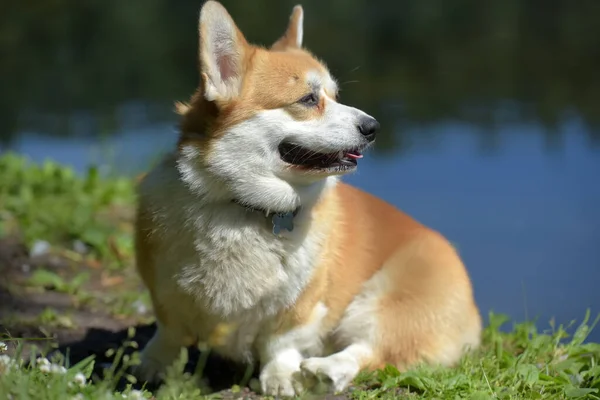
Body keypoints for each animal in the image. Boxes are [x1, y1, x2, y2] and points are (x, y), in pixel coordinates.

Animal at [134, 0, 480, 396]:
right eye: (308, 99)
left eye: (335, 96)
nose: (373, 127)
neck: (246, 207)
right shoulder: (164, 292)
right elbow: (169, 333)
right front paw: (154, 365)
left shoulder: (301, 304)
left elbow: (280, 342)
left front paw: (282, 377)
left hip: (389, 303)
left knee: (370, 350)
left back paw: (326, 370)